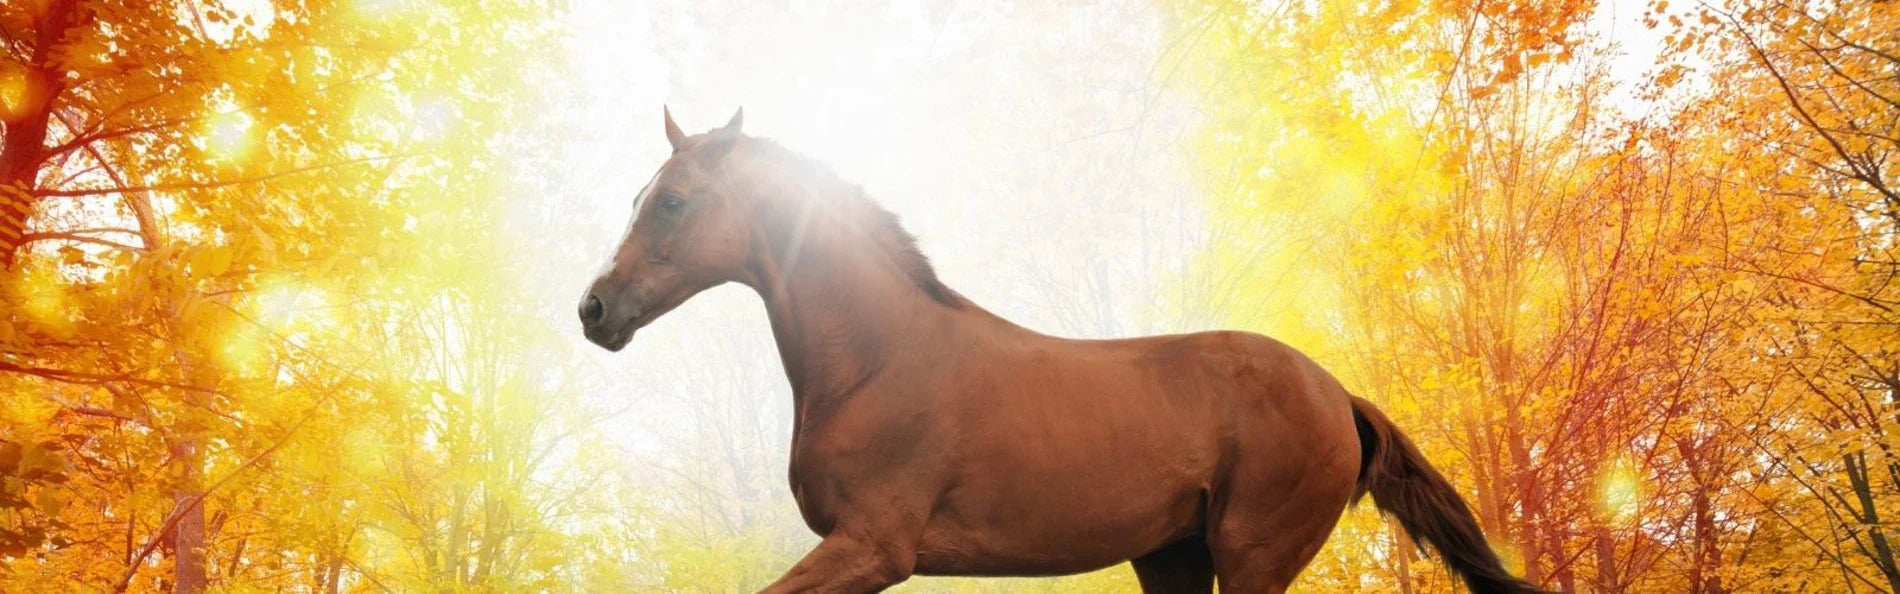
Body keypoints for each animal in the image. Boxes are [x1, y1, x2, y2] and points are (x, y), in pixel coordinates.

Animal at [576, 108, 1539, 594]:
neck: (876, 363)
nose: (594, 309)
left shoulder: (874, 549)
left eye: (673, 201)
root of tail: (1338, 393)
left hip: (1252, 559)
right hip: (1173, 561)